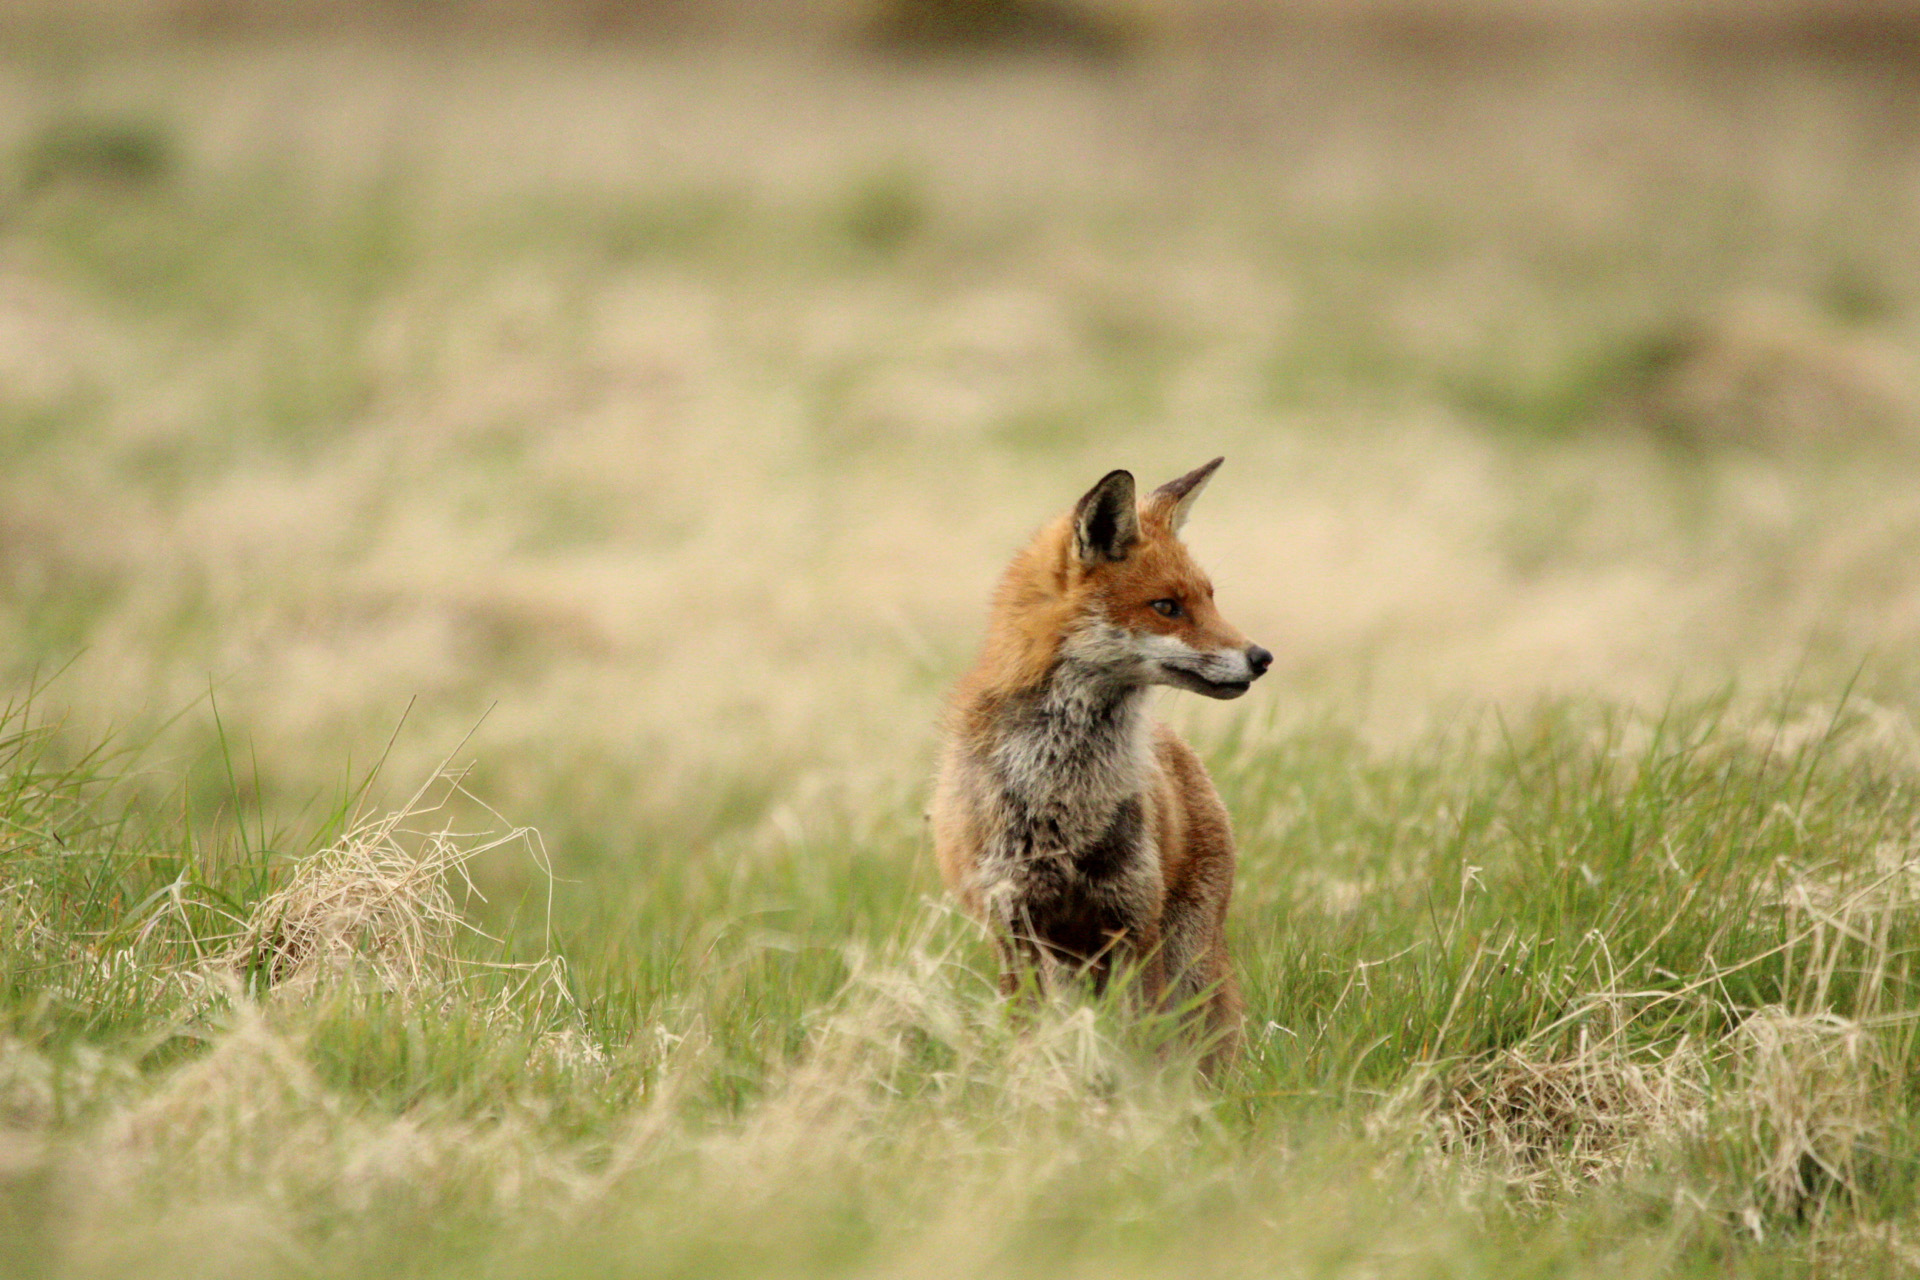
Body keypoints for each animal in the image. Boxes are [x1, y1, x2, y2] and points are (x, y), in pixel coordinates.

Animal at [930, 457, 1270, 1066]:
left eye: (1211, 598)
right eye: (1166, 607)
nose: (1262, 658)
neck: (1060, 791)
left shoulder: (1133, 923)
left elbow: (1150, 1045)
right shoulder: (1012, 929)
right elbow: (1024, 1038)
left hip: (1185, 956)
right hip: (1072, 964)